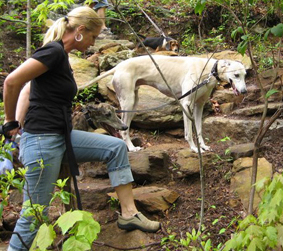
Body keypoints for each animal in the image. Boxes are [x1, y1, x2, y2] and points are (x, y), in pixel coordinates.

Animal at [80, 55, 248, 152]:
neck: (208, 70)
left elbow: (199, 130)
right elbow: (188, 132)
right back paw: (132, 148)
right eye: (236, 75)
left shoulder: (199, 105)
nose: (244, 91)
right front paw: (194, 148)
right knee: (123, 130)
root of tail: (118, 66)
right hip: (128, 101)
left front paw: (203, 146)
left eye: (245, 75)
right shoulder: (186, 104)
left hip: (134, 103)